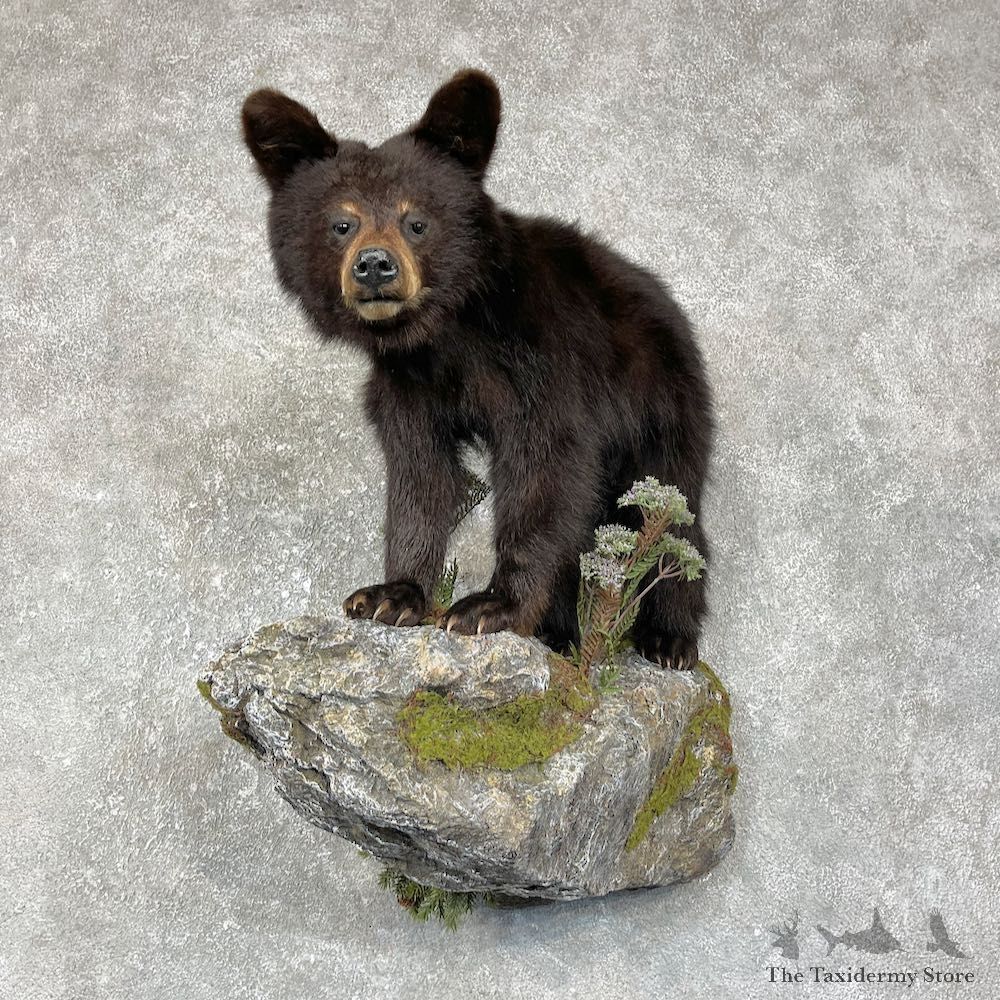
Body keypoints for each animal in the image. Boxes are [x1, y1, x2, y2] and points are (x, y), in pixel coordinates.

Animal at [241, 69, 715, 669]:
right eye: (341, 223)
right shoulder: (406, 387)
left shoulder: (543, 364)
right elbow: (420, 477)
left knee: (670, 510)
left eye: (416, 221)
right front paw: (390, 595)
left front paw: (490, 606)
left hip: (661, 401)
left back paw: (668, 638)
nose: (374, 265)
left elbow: (544, 475)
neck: (447, 333)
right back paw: (560, 633)